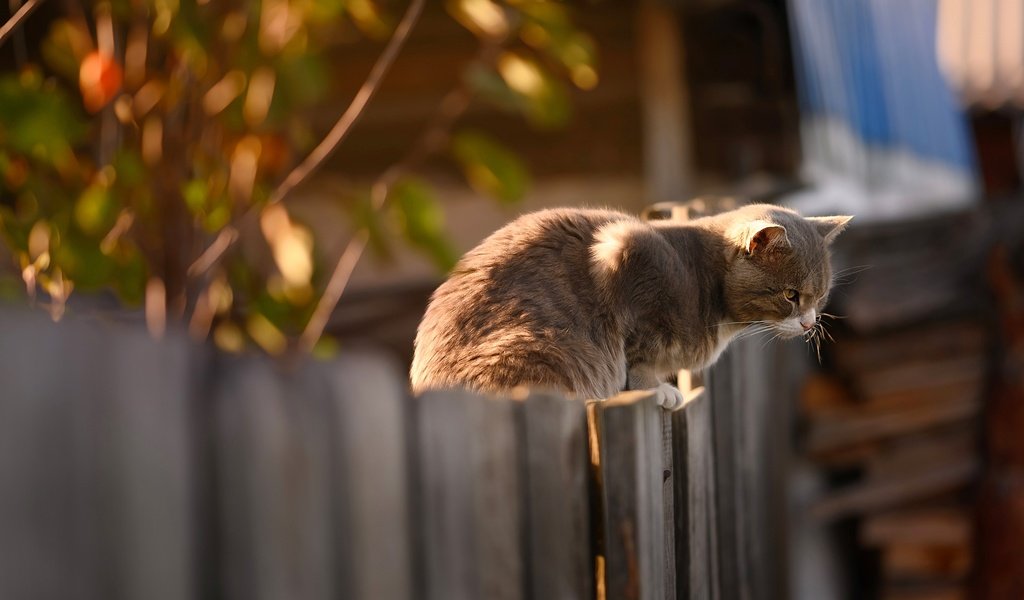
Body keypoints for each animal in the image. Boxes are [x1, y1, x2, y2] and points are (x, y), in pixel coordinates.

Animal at [407, 201, 847, 405]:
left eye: (820, 296)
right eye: (791, 295)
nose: (810, 323)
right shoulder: (625, 250)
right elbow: (637, 356)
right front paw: (658, 389)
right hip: (538, 347)